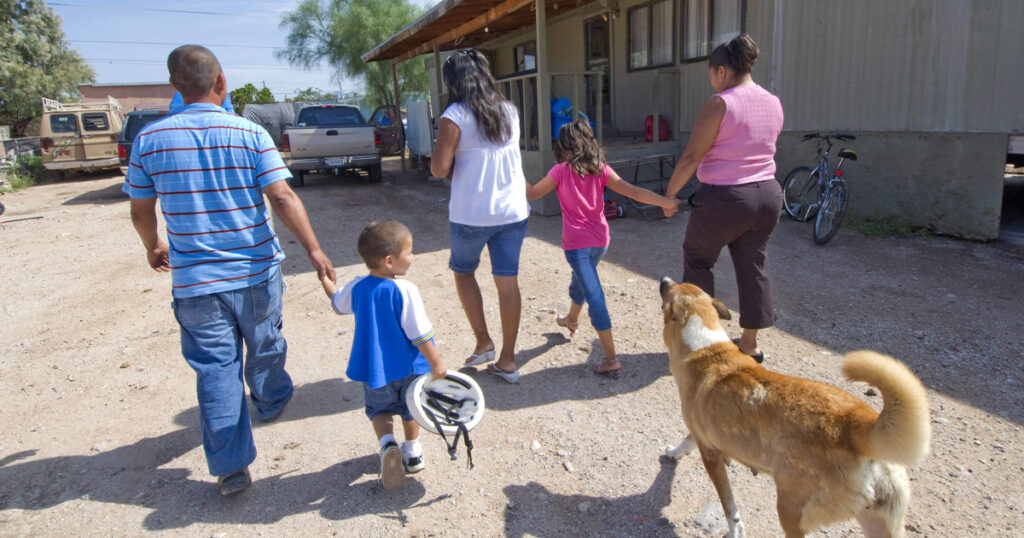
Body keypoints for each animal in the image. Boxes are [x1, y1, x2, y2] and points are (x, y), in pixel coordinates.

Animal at [659, 278, 930, 538]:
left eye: (672, 288)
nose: (664, 279)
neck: (705, 347)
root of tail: (858, 424)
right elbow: (687, 441)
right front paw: (675, 452)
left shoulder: (710, 455)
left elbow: (730, 508)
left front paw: (735, 531)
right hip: (876, 520)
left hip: (792, 510)